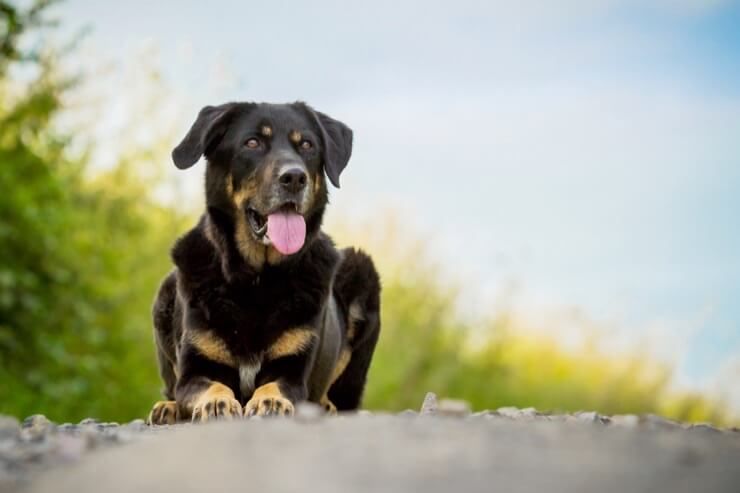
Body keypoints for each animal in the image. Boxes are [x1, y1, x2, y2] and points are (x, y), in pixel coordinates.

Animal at [149, 101, 382, 422]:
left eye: (307, 145)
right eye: (252, 142)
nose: (294, 177)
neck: (257, 280)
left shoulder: (293, 373)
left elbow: (274, 385)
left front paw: (270, 401)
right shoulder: (195, 371)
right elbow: (211, 386)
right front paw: (217, 402)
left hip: (362, 271)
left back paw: (326, 406)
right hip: (165, 292)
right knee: (170, 388)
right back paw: (168, 407)